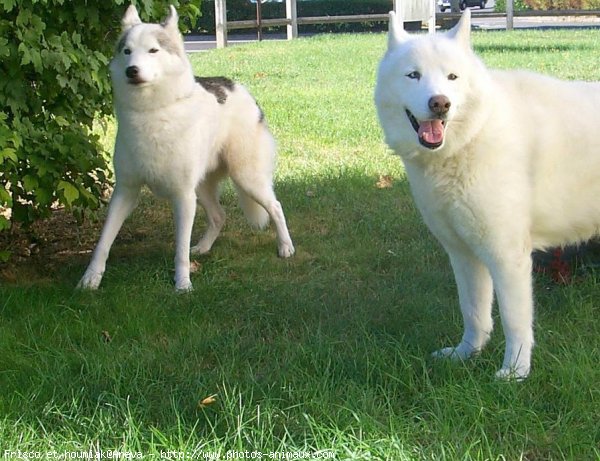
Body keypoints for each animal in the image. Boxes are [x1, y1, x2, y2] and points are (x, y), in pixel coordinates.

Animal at [78, 4, 294, 292]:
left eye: (153, 50)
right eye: (127, 51)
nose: (131, 70)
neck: (153, 112)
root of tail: (239, 87)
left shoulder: (182, 196)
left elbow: (179, 249)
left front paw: (182, 284)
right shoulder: (125, 192)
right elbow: (103, 242)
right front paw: (91, 278)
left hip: (246, 179)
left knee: (276, 207)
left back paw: (286, 247)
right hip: (201, 189)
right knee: (219, 216)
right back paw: (202, 248)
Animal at [376, 9, 600, 378]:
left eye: (452, 77)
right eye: (413, 75)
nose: (440, 104)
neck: (473, 136)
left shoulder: (507, 256)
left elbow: (514, 320)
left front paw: (515, 372)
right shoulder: (463, 253)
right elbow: (474, 312)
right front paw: (467, 354)